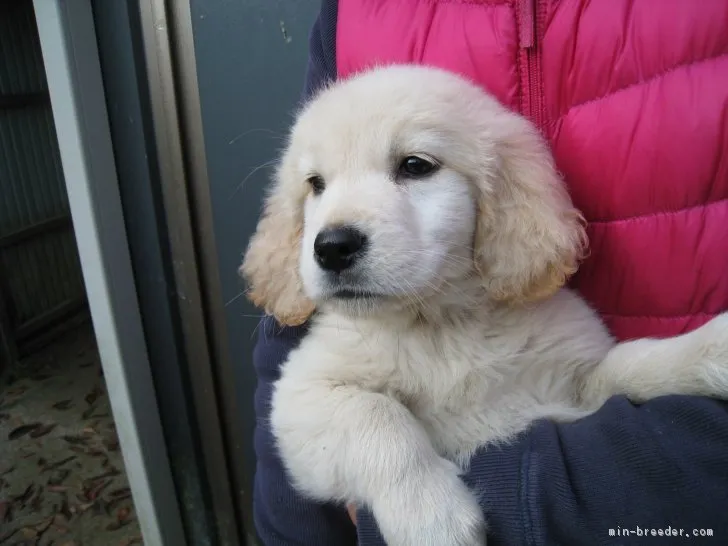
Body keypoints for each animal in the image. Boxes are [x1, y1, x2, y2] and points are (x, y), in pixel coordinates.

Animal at [242, 65, 728, 544]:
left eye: (415, 166)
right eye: (315, 185)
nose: (332, 247)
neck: (440, 326)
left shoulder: (568, 387)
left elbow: (630, 362)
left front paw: (709, 351)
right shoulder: (300, 396)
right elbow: (375, 414)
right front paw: (431, 516)